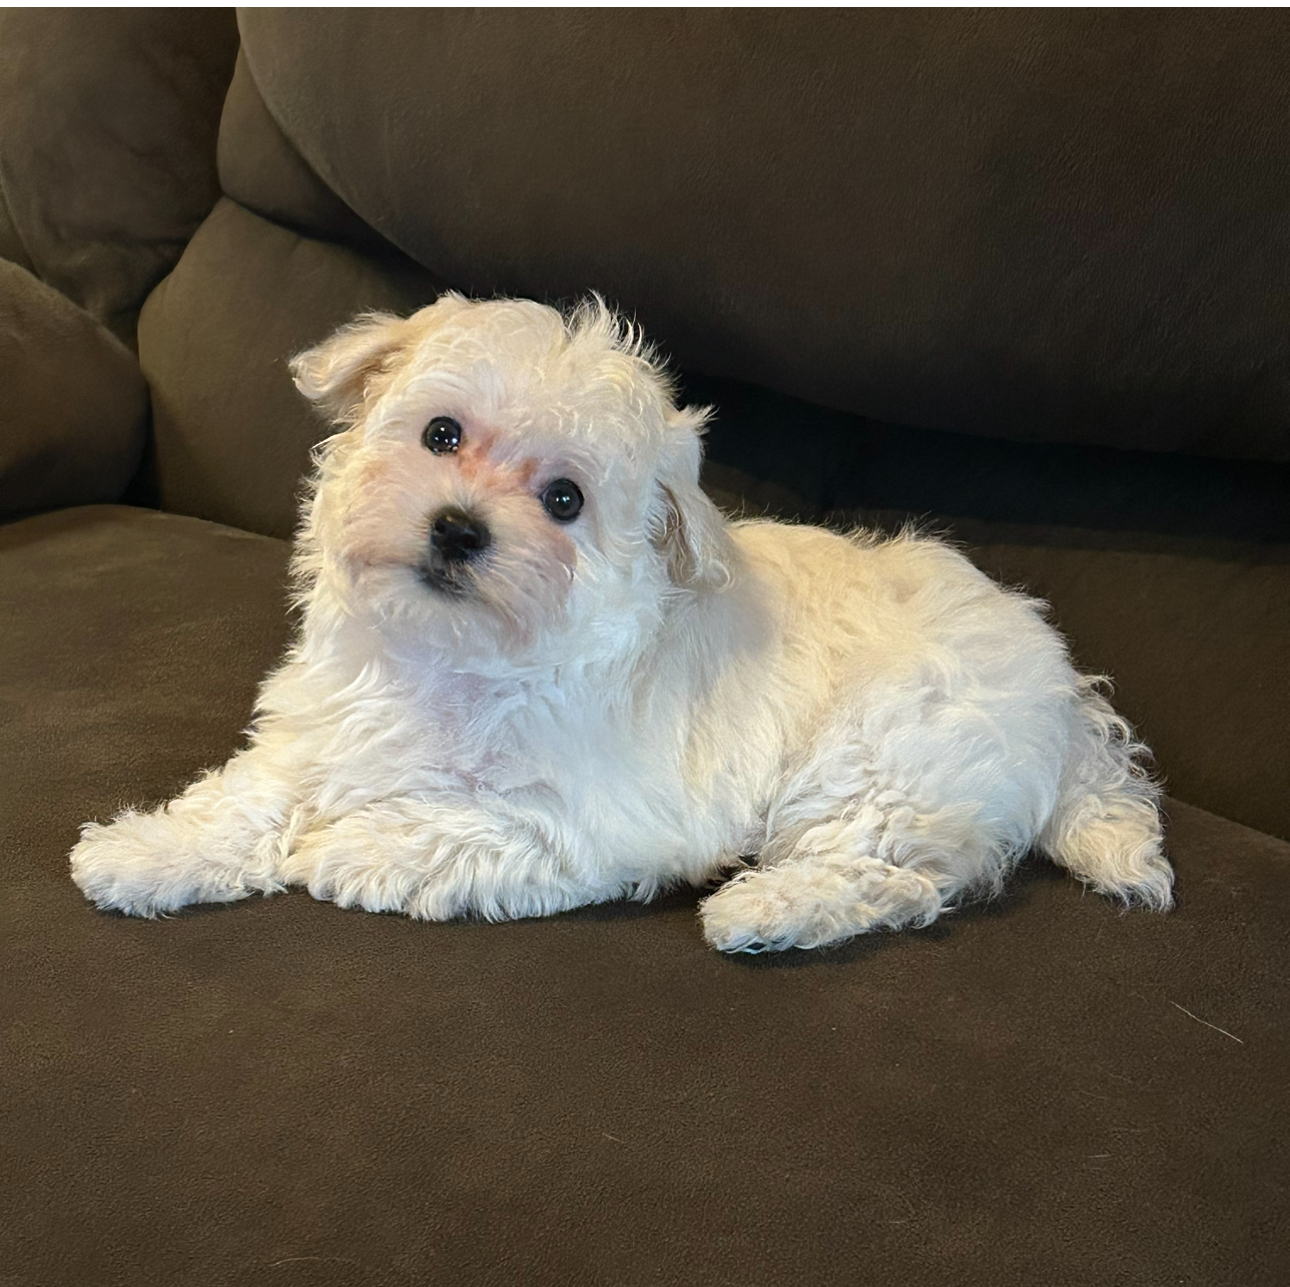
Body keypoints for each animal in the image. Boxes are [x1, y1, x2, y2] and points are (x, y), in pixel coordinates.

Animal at [73, 296, 1181, 954]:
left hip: (888, 758)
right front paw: (148, 853)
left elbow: (454, 827)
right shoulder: (324, 731)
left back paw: (764, 908)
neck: (456, 659)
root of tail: (1058, 684)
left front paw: (349, 848)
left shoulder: (588, 820)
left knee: (895, 878)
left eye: (564, 500)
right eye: (440, 433)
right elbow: (249, 798)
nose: (458, 528)